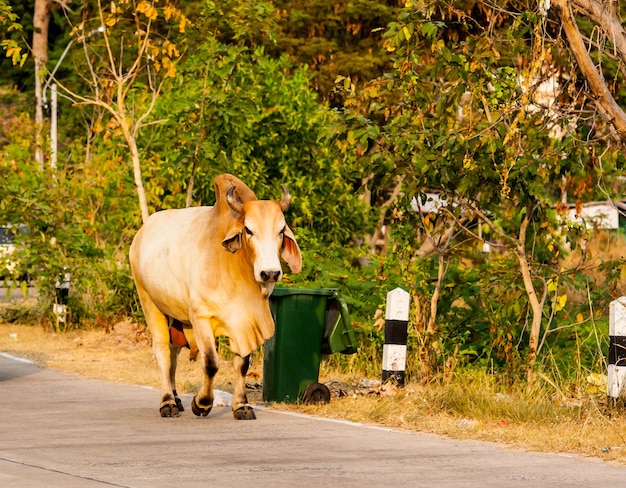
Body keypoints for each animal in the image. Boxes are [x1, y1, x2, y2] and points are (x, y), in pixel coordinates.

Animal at [129, 174, 300, 420]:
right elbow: (210, 363)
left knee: (173, 352)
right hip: (149, 301)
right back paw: (168, 402)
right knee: (162, 351)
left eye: (280, 231)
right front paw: (201, 404)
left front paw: (241, 406)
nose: (270, 273)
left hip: (176, 314)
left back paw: (176, 398)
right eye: (249, 230)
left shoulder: (245, 321)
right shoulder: (201, 316)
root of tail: (142, 232)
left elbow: (242, 364)